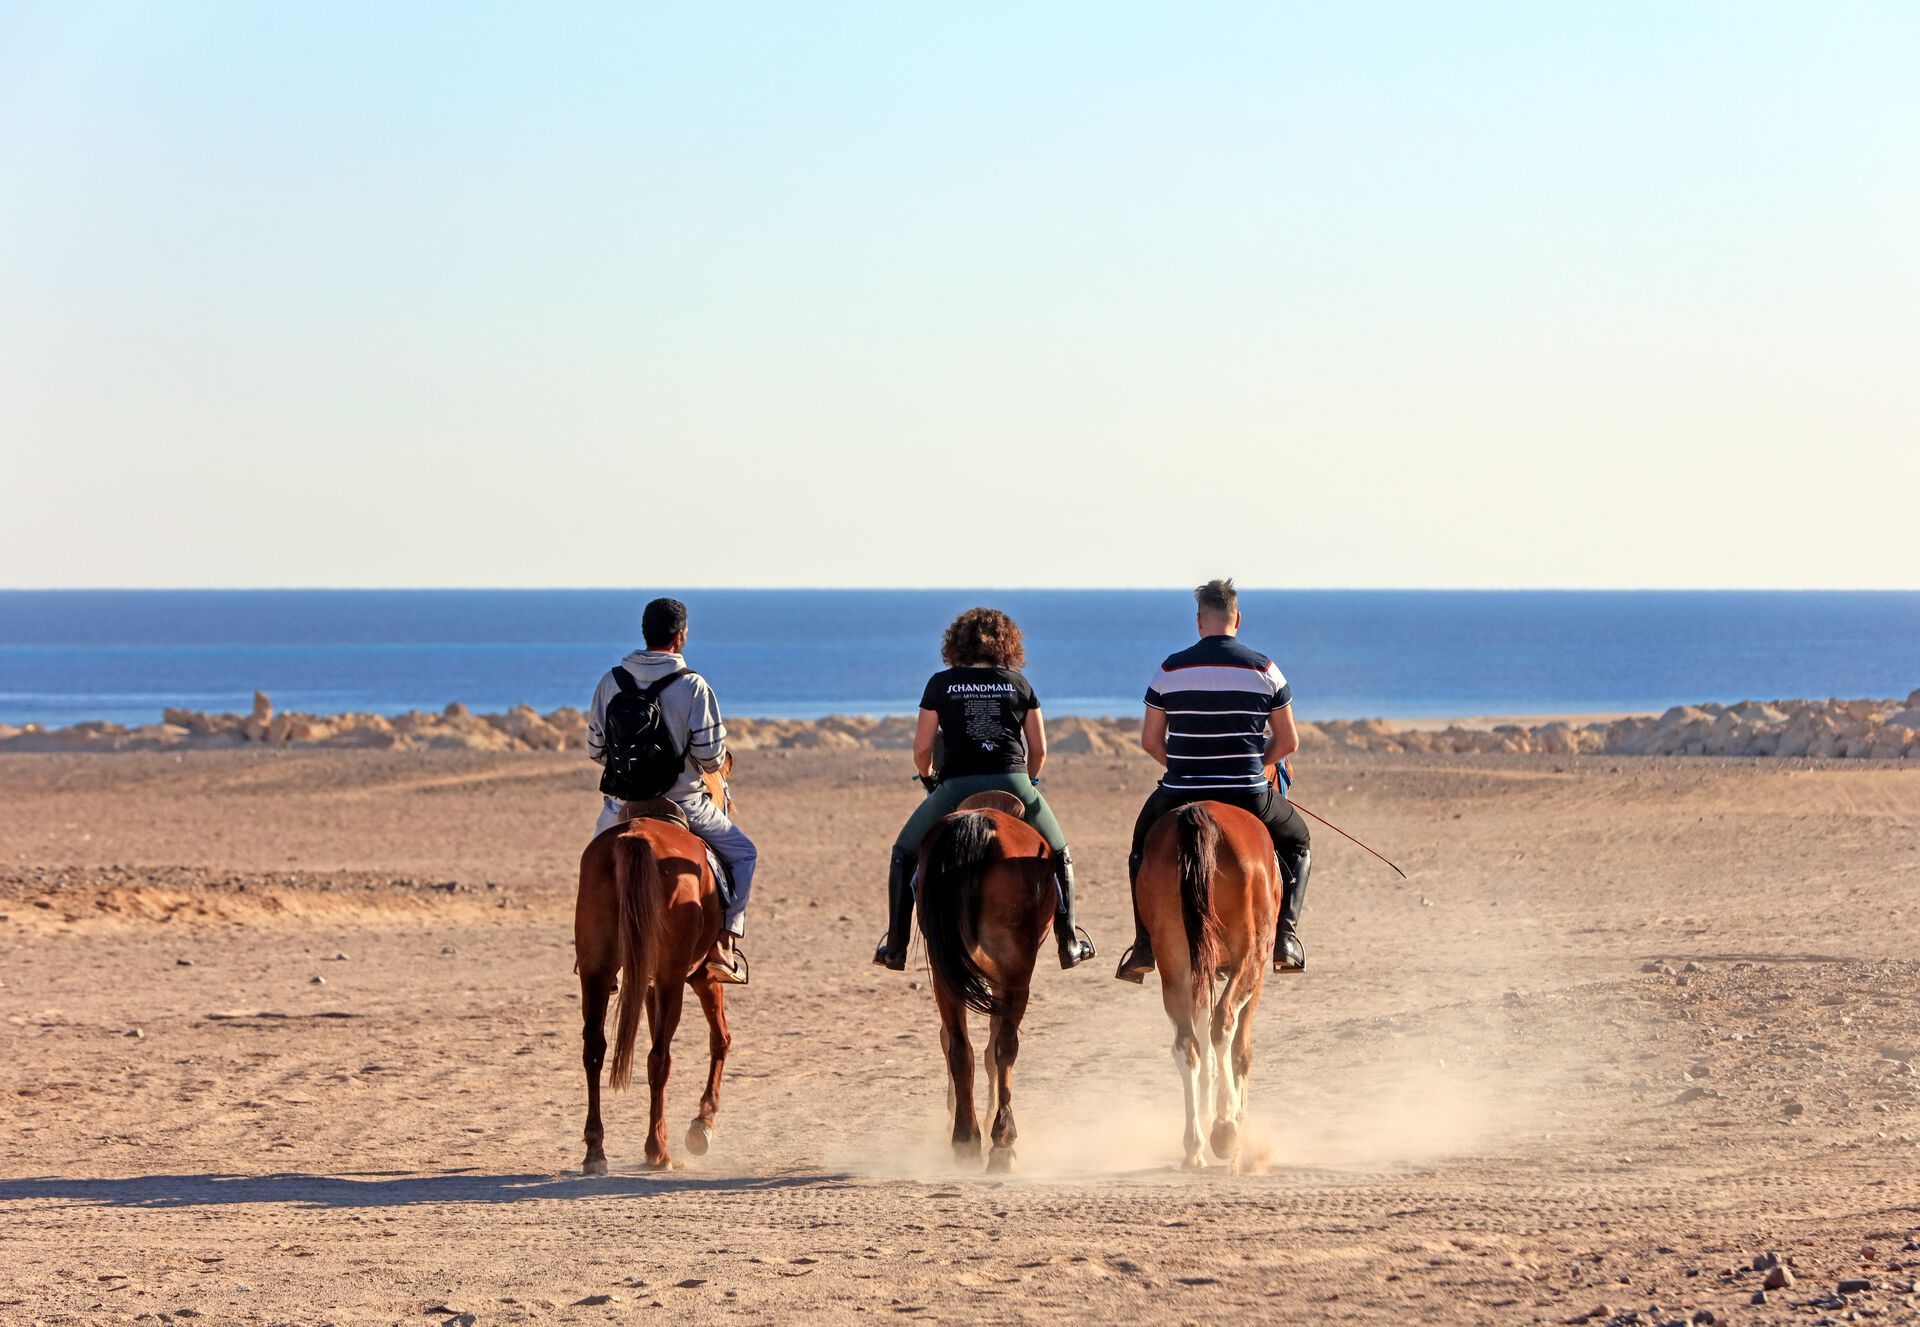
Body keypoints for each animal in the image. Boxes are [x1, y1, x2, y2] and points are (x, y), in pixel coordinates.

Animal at [568, 752, 733, 1175]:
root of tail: (636, 838)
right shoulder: (701, 977)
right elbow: (720, 1039)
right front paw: (702, 1125)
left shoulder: (647, 982)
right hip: (675, 975)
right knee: (660, 1057)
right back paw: (658, 1151)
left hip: (597, 970)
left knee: (594, 1048)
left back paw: (596, 1151)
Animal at [917, 787, 1059, 1175]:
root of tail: (978, 822)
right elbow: (996, 1048)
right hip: (1016, 969)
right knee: (1004, 1047)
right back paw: (1002, 1141)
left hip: (946, 970)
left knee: (959, 1049)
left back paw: (966, 1139)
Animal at [1128, 798, 1282, 1159]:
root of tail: (1199, 815)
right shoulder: (1256, 972)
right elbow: (1241, 1050)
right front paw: (1234, 1117)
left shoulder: (1201, 971)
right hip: (1250, 955)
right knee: (1224, 1024)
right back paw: (1225, 1129)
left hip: (1174, 960)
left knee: (1188, 1046)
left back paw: (1194, 1145)